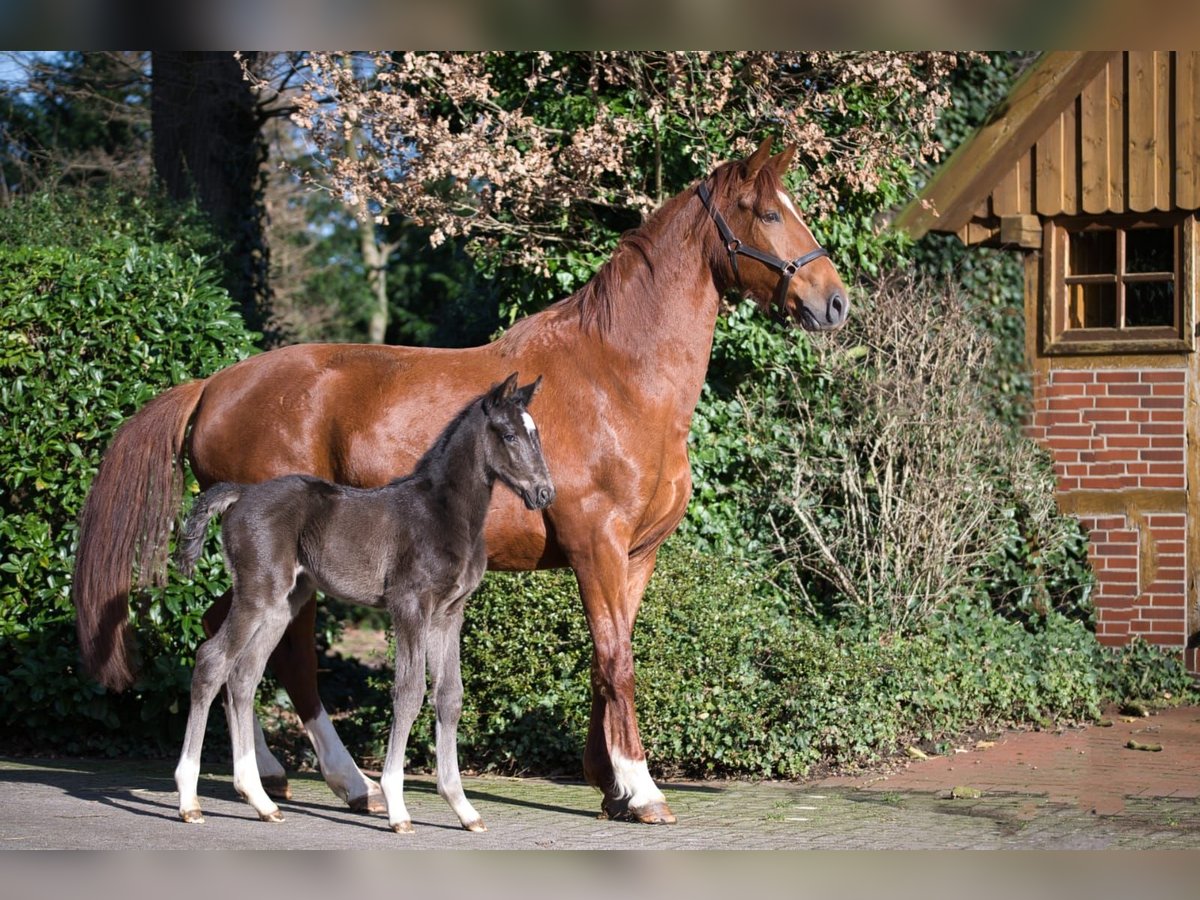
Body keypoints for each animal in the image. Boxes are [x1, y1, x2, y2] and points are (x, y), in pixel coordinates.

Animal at [172, 374, 552, 840]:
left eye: (537, 433)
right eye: (510, 434)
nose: (544, 493)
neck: (443, 514)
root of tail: (241, 494)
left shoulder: (448, 614)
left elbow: (450, 697)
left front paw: (463, 808)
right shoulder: (410, 607)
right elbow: (408, 693)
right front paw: (397, 808)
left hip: (283, 603)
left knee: (244, 675)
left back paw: (261, 800)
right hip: (256, 593)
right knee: (212, 661)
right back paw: (189, 800)